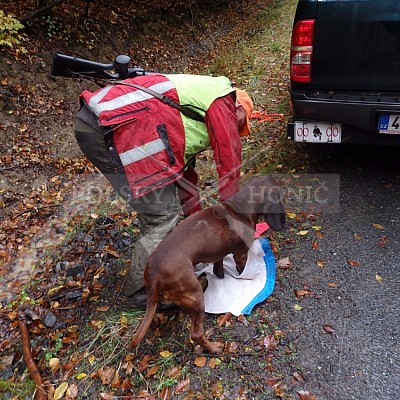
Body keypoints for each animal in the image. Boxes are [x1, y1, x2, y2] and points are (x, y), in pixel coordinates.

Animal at [128, 176, 284, 354]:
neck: (240, 208)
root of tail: (154, 274)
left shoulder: (218, 255)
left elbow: (219, 269)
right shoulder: (241, 254)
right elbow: (242, 271)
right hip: (196, 297)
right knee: (196, 334)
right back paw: (214, 348)